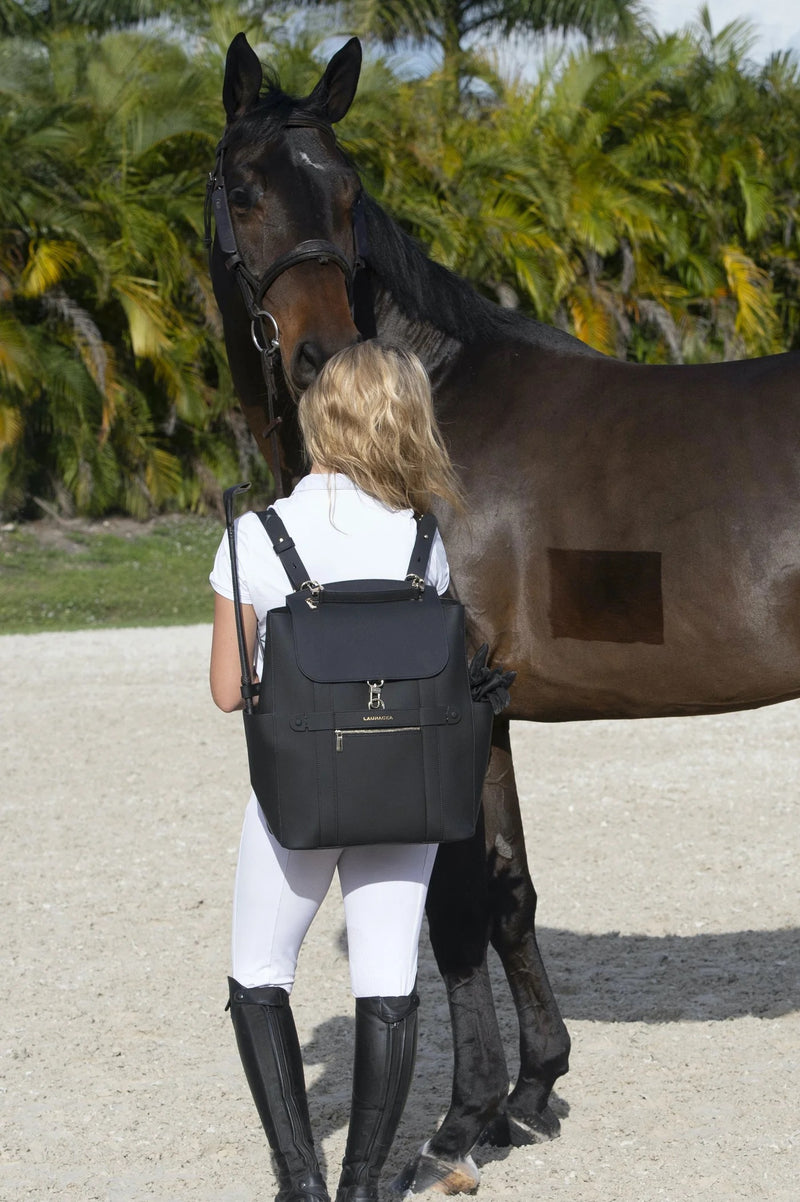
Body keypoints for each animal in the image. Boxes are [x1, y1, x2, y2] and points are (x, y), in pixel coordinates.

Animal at [204, 32, 797, 1197]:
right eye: (247, 190)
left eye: (347, 193)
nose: (320, 357)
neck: (428, 416)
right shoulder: (491, 713)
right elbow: (510, 892)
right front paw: (531, 1091)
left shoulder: (451, 709)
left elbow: (455, 909)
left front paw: (460, 1121)